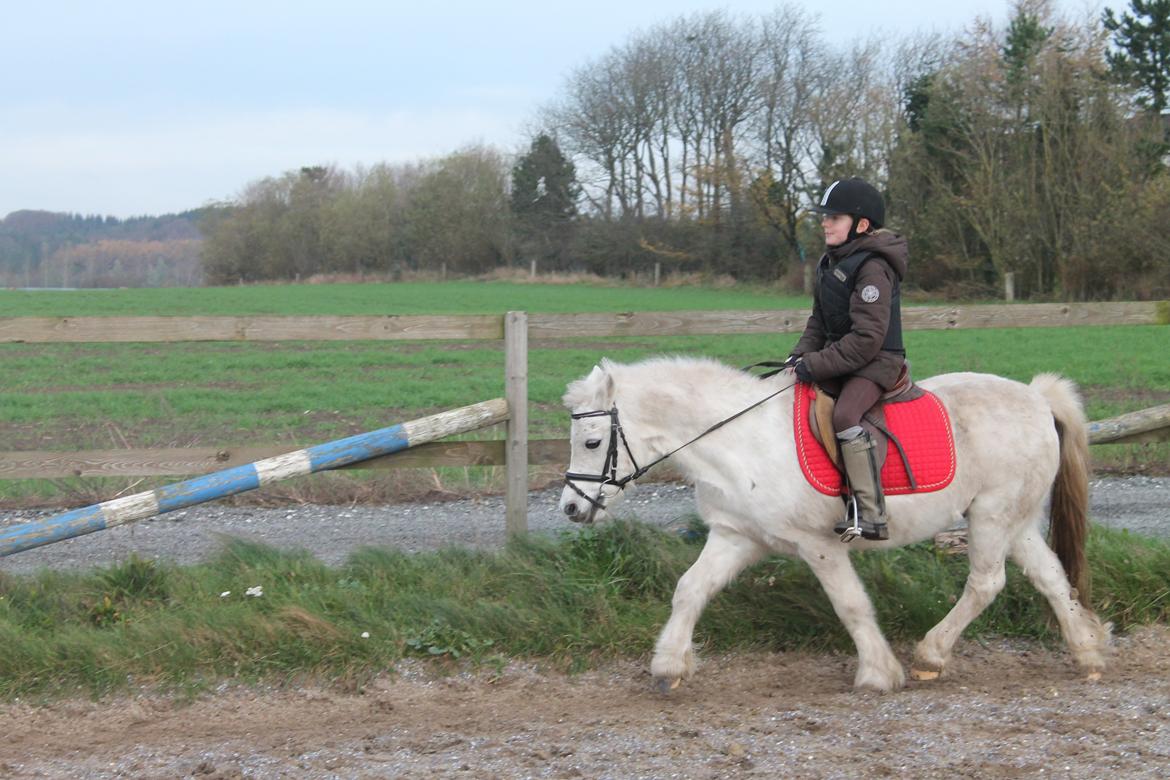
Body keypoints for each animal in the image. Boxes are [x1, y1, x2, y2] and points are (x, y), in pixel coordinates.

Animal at [558, 356, 1111, 693]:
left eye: (591, 442)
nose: (570, 509)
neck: (740, 441)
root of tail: (1037, 397)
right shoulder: (737, 536)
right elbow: (690, 590)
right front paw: (669, 666)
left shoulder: (818, 545)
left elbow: (851, 605)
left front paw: (878, 673)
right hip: (1014, 520)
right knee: (1051, 577)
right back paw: (1087, 652)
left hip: (992, 515)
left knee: (986, 582)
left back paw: (931, 654)